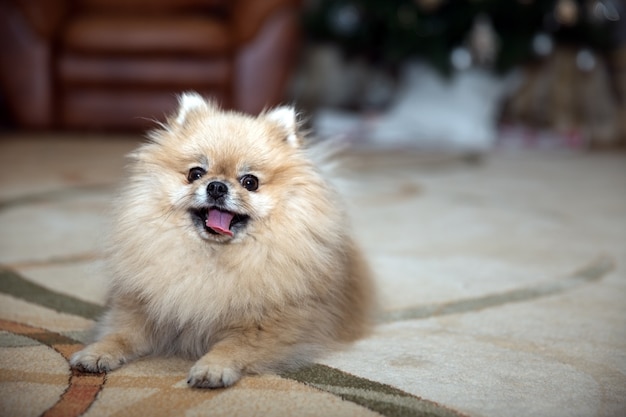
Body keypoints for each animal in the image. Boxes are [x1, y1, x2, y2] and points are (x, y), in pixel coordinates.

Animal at [69, 92, 370, 388]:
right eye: (195, 173)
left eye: (250, 182)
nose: (216, 186)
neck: (212, 258)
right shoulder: (142, 310)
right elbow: (119, 334)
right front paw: (96, 353)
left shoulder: (271, 326)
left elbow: (234, 346)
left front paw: (212, 368)